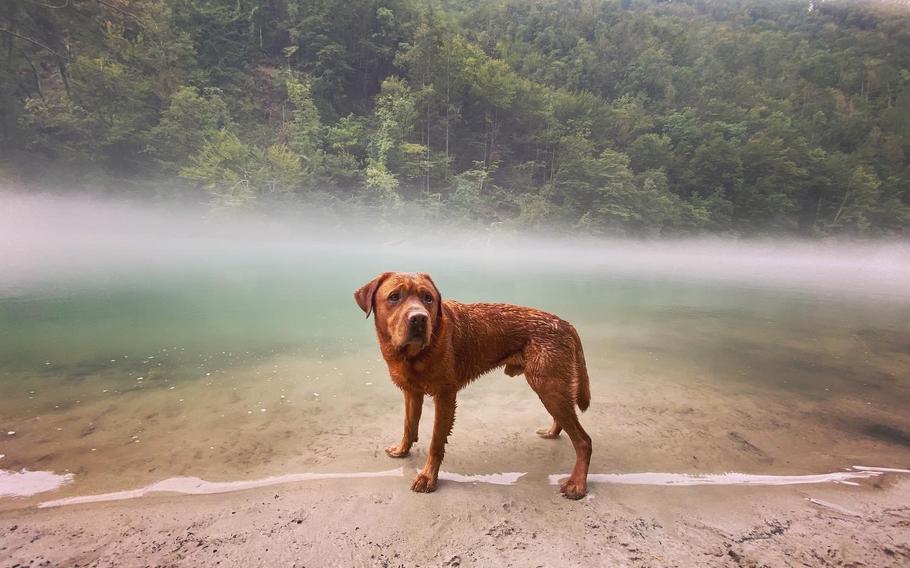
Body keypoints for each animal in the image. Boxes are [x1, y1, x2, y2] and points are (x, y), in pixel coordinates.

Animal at [352, 272, 596, 500]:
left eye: (428, 298)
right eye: (394, 297)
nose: (419, 319)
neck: (415, 354)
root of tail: (566, 323)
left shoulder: (445, 396)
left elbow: (435, 442)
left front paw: (428, 477)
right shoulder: (412, 392)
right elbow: (409, 425)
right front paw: (402, 450)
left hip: (547, 385)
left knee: (584, 441)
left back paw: (577, 483)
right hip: (550, 386)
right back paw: (552, 432)